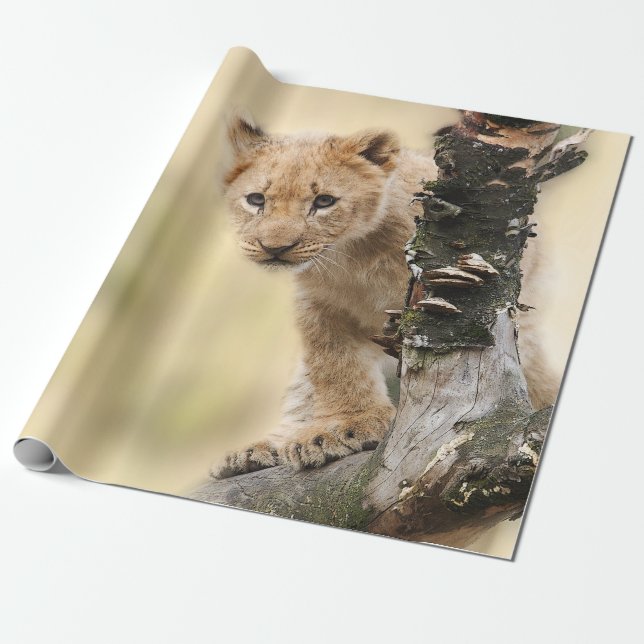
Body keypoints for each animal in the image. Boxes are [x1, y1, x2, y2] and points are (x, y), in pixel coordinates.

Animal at [212, 113, 557, 478]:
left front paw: (341, 429)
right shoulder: (318, 305)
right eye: (256, 200)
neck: (352, 254)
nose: (274, 248)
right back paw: (258, 450)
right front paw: (345, 424)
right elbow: (333, 365)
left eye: (324, 202)